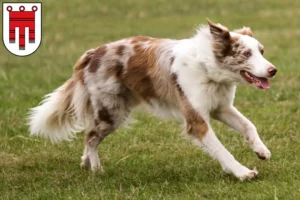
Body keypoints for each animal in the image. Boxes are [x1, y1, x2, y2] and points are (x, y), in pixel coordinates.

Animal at [28, 19, 276, 180]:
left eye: (262, 51)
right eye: (246, 54)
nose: (273, 70)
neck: (210, 70)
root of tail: (92, 54)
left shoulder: (220, 107)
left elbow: (249, 125)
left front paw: (261, 150)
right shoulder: (197, 120)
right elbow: (221, 149)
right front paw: (242, 172)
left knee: (90, 136)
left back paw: (85, 162)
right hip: (112, 112)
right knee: (90, 136)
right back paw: (97, 169)